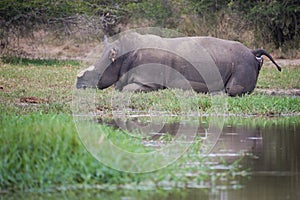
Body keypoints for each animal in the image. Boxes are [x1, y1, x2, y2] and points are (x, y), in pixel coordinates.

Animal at [75, 32, 282, 96]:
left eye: (96, 74)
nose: (78, 85)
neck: (119, 55)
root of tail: (251, 52)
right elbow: (119, 86)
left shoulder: (150, 81)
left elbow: (126, 89)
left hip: (242, 63)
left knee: (232, 90)